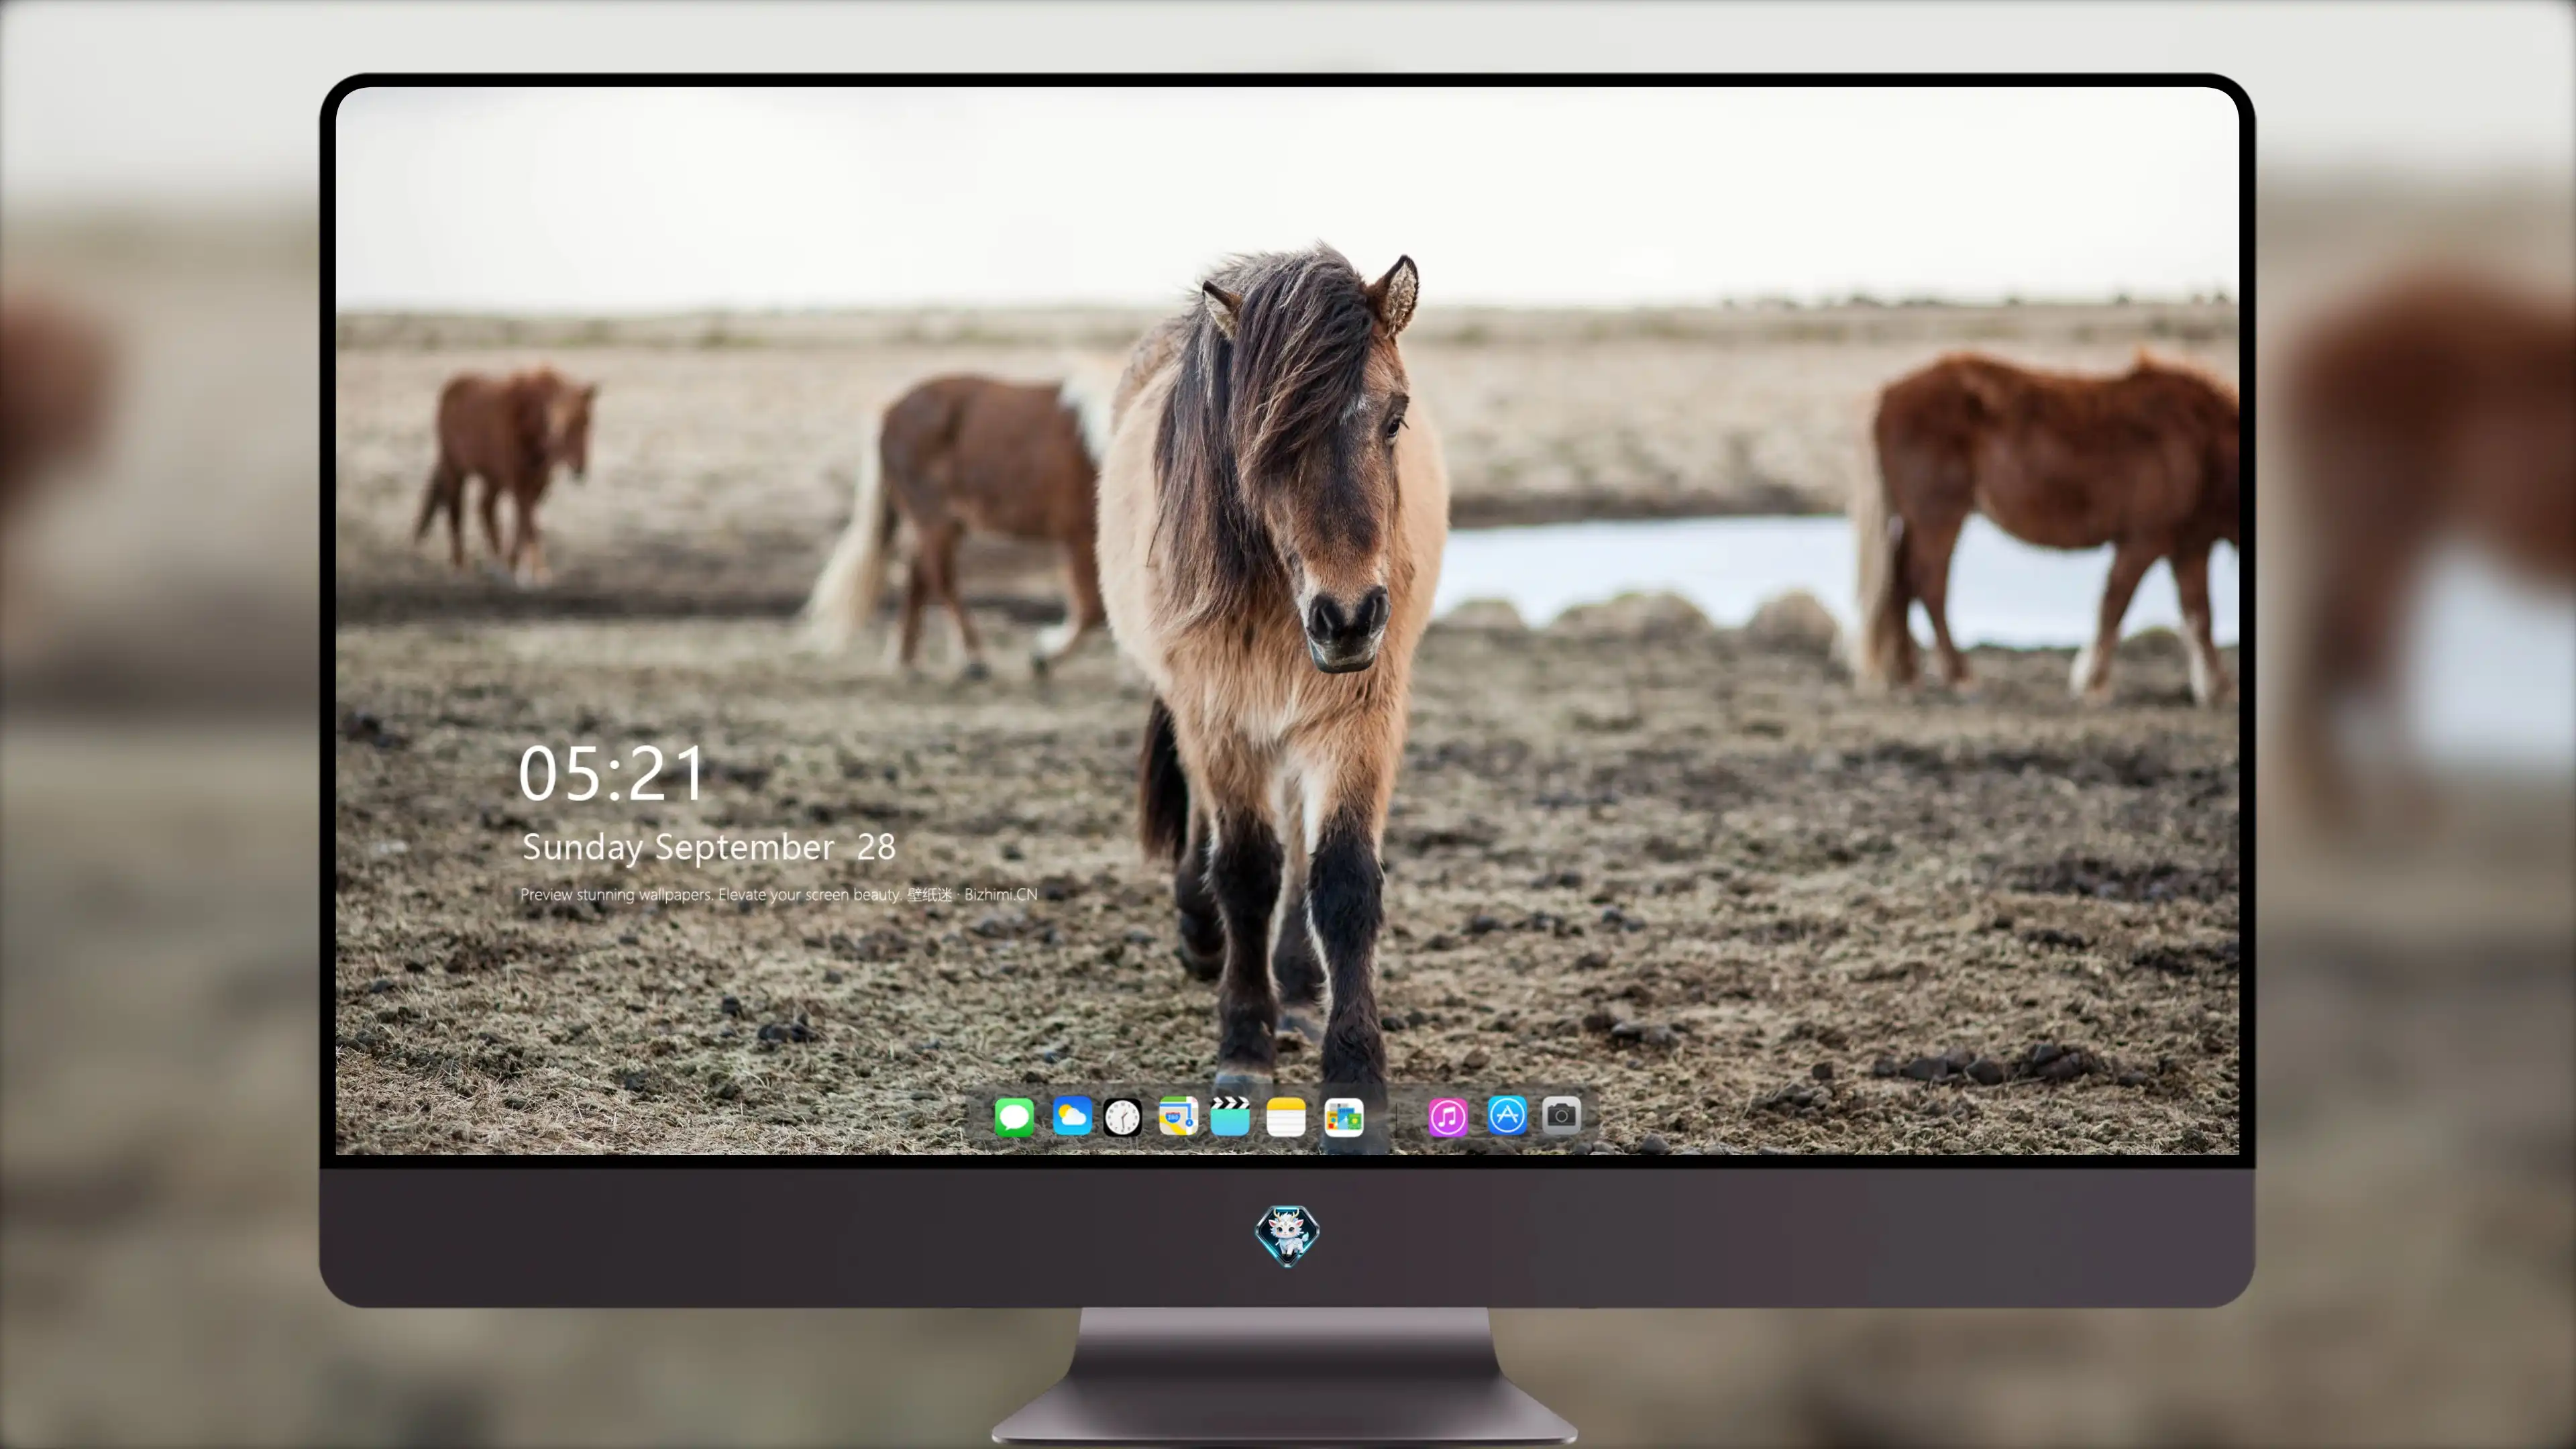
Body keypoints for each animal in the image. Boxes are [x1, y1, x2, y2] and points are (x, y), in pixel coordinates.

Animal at [412, 367, 596, 585]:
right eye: (566, 426)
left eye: (587, 424)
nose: (580, 470)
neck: (528, 424)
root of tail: (453, 386)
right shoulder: (520, 485)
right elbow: (530, 526)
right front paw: (533, 571)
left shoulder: (537, 486)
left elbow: (524, 525)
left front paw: (520, 567)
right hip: (455, 470)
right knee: (456, 511)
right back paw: (461, 566)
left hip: (492, 478)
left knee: (485, 507)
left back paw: (496, 559)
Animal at [801, 373, 1112, 678]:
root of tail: (890, 412)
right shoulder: (1081, 535)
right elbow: (1094, 609)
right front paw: (1043, 657)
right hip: (936, 520)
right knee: (940, 578)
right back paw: (973, 659)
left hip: (943, 524)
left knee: (920, 576)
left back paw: (907, 660)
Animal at [1096, 246, 1447, 1154]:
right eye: (1266, 437)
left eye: (1394, 419)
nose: (1349, 616)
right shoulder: (1217, 714)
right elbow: (1247, 870)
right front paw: (1244, 1048)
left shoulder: (1359, 718)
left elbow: (1343, 880)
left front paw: (1356, 1076)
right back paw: (1203, 935)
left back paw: (1295, 984)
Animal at [1853, 351, 2241, 705]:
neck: (2200, 441)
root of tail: (1890, 395)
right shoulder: (2144, 539)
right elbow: (2115, 604)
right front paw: (2093, 682)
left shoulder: (2191, 546)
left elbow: (2200, 614)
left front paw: (2215, 688)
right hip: (1939, 517)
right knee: (1928, 585)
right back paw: (1958, 676)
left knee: (1901, 584)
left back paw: (1908, 676)